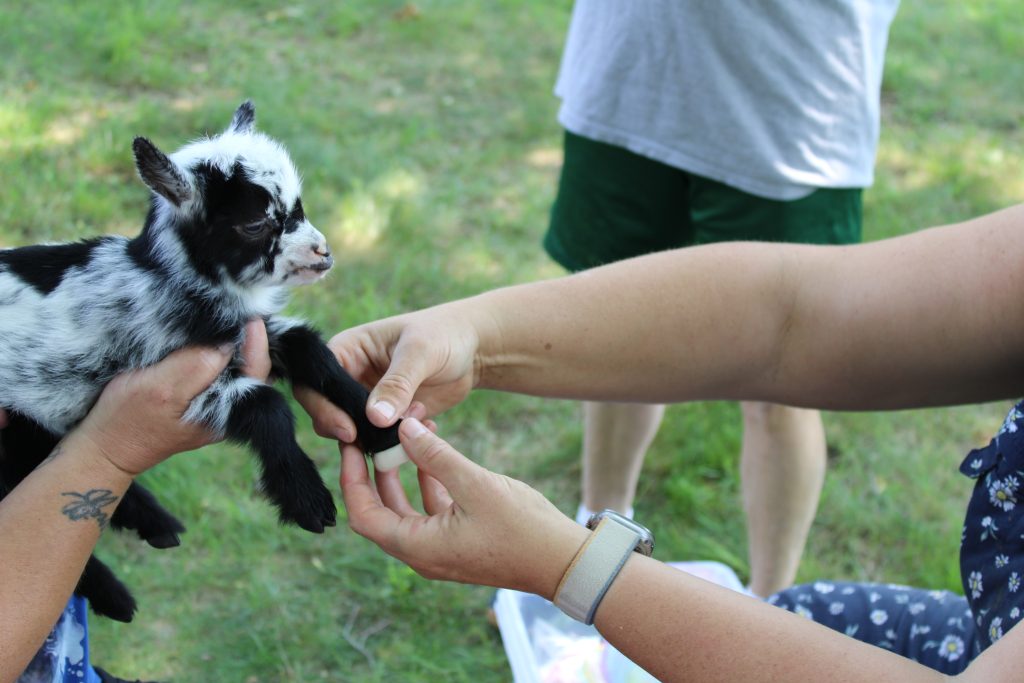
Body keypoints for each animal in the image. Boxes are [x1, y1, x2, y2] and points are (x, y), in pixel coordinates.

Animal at [0, 101, 401, 622]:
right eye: (255, 224)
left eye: (300, 207)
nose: (323, 253)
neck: (167, 278)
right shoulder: (179, 377)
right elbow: (268, 407)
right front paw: (307, 499)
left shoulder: (252, 334)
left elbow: (311, 350)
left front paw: (380, 428)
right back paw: (116, 592)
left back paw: (153, 526)